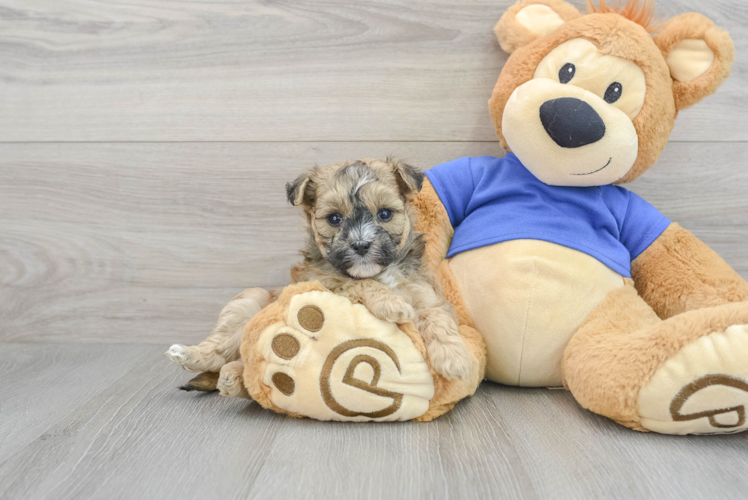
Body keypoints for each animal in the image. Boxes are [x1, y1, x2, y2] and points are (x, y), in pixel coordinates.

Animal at [288, 158, 474, 380]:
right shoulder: (322, 281)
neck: (382, 273)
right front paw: (392, 304)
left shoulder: (422, 290)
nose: (361, 245)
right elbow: (357, 282)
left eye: (384, 214)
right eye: (334, 218)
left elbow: (436, 315)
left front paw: (454, 358)